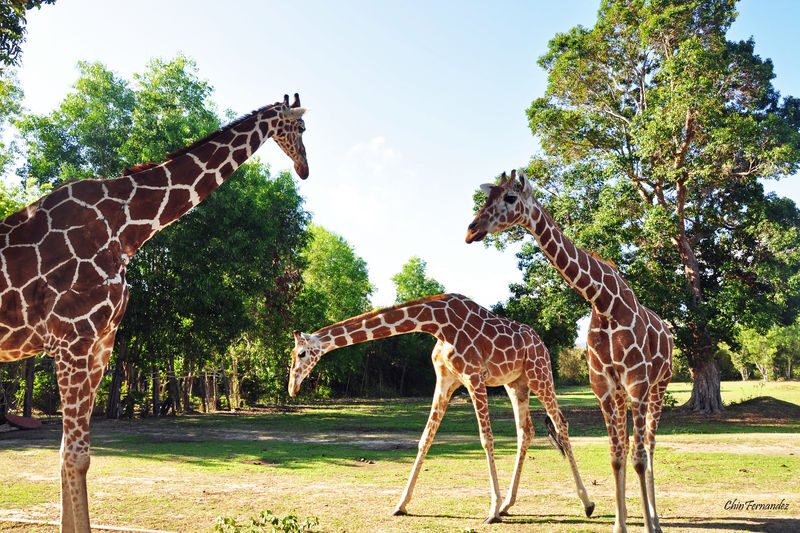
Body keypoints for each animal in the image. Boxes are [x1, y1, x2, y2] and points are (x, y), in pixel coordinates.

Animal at [0, 93, 309, 533]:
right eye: (300, 128)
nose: (304, 168)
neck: (126, 229)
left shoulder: (100, 344)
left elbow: (71, 455)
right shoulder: (72, 339)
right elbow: (75, 456)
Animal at [288, 293, 594, 523]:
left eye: (301, 354)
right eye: (292, 354)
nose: (292, 387)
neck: (436, 324)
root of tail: (542, 343)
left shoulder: (473, 376)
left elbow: (486, 439)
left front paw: (491, 511)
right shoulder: (445, 379)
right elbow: (426, 438)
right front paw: (401, 505)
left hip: (539, 375)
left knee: (561, 423)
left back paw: (586, 503)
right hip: (515, 384)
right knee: (525, 431)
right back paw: (509, 504)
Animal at [466, 170, 673, 533]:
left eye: (509, 197)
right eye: (486, 197)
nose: (471, 230)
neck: (603, 302)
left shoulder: (637, 383)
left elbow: (637, 458)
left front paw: (647, 525)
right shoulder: (603, 386)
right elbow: (616, 456)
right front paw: (619, 524)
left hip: (658, 386)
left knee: (648, 447)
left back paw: (656, 520)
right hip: (625, 394)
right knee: (629, 447)